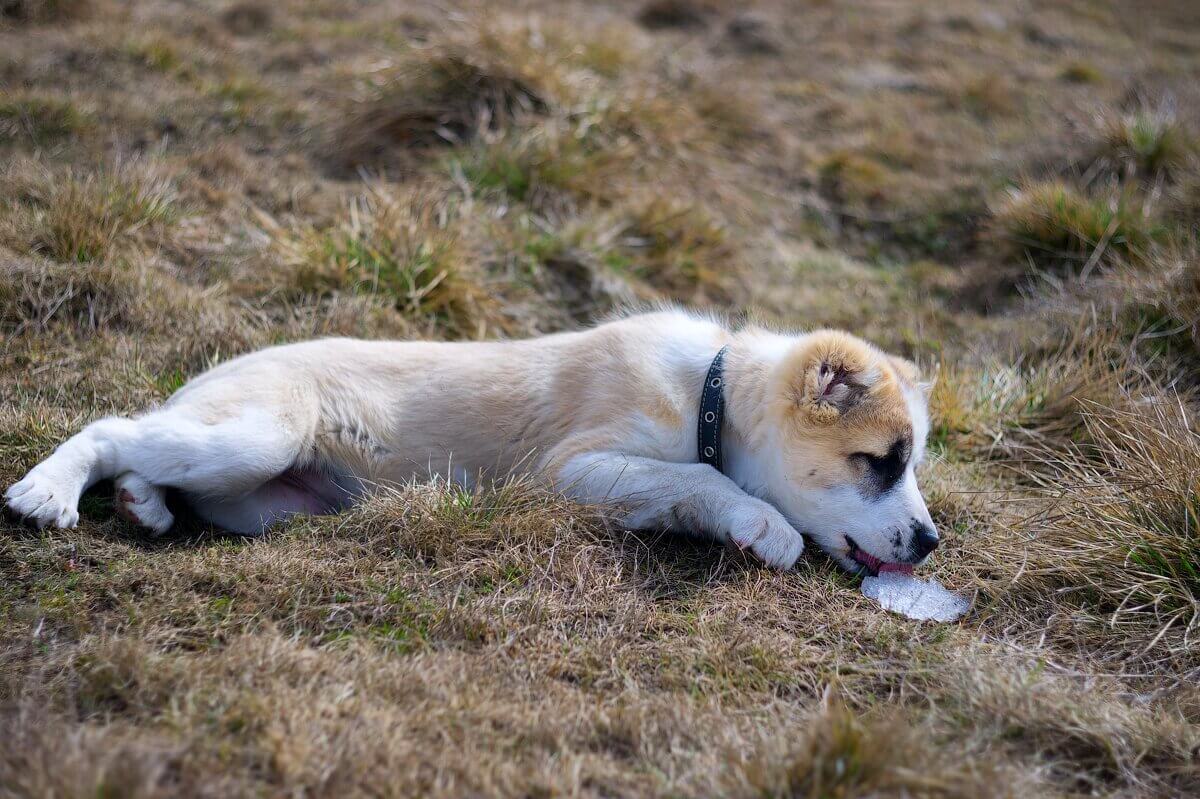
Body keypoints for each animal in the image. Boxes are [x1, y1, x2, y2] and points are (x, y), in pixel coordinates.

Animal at [4, 305, 940, 573]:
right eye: (878, 462)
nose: (932, 542)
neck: (709, 392)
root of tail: (220, 369)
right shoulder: (575, 467)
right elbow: (708, 482)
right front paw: (764, 523)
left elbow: (689, 488)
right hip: (250, 435)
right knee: (114, 426)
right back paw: (47, 490)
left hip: (261, 500)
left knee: (153, 460)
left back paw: (144, 504)